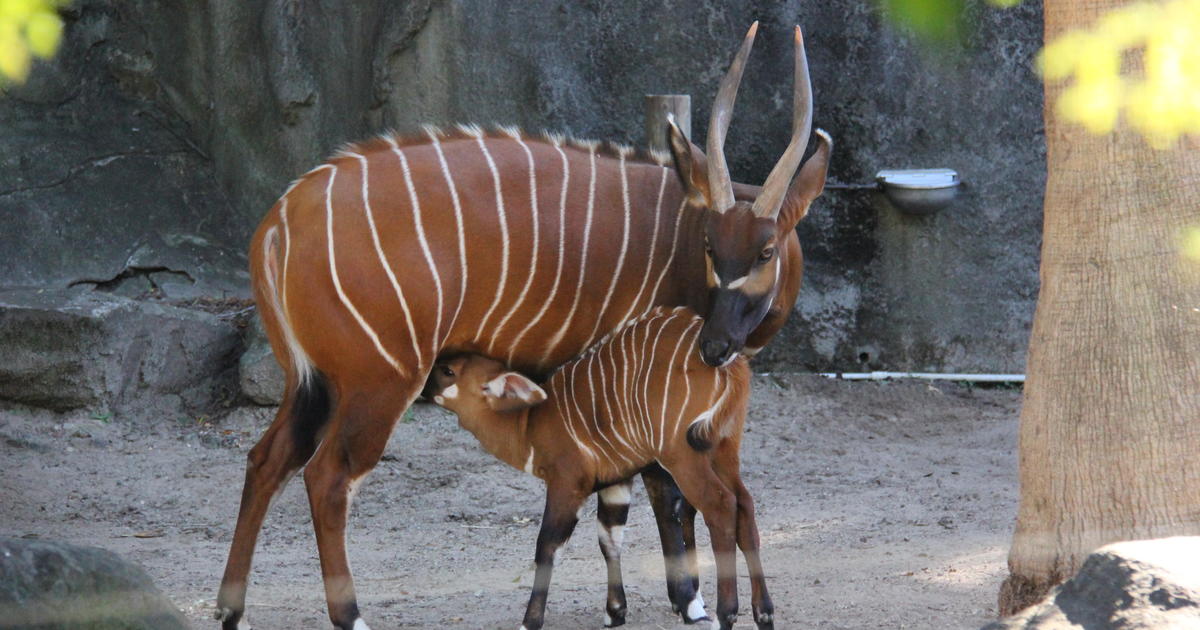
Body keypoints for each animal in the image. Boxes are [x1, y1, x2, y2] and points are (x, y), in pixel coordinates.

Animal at [427, 306, 772, 628]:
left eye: (448, 370)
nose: (423, 385)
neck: (531, 424)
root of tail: (731, 366)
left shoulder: (568, 484)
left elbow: (548, 546)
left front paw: (530, 621)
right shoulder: (616, 481)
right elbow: (609, 539)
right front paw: (615, 612)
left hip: (684, 457)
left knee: (720, 505)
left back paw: (725, 616)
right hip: (724, 451)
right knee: (744, 505)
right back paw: (764, 614)